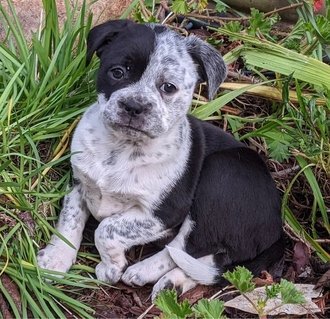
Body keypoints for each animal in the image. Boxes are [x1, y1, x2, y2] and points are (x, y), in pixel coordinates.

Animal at [37, 19, 282, 300]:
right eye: (118, 72)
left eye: (168, 87)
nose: (134, 106)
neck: (121, 149)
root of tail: (278, 230)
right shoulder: (79, 182)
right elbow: (70, 218)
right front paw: (56, 258)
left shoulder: (164, 213)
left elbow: (107, 229)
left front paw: (111, 267)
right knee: (211, 260)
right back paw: (172, 283)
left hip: (220, 175)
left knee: (188, 246)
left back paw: (144, 271)